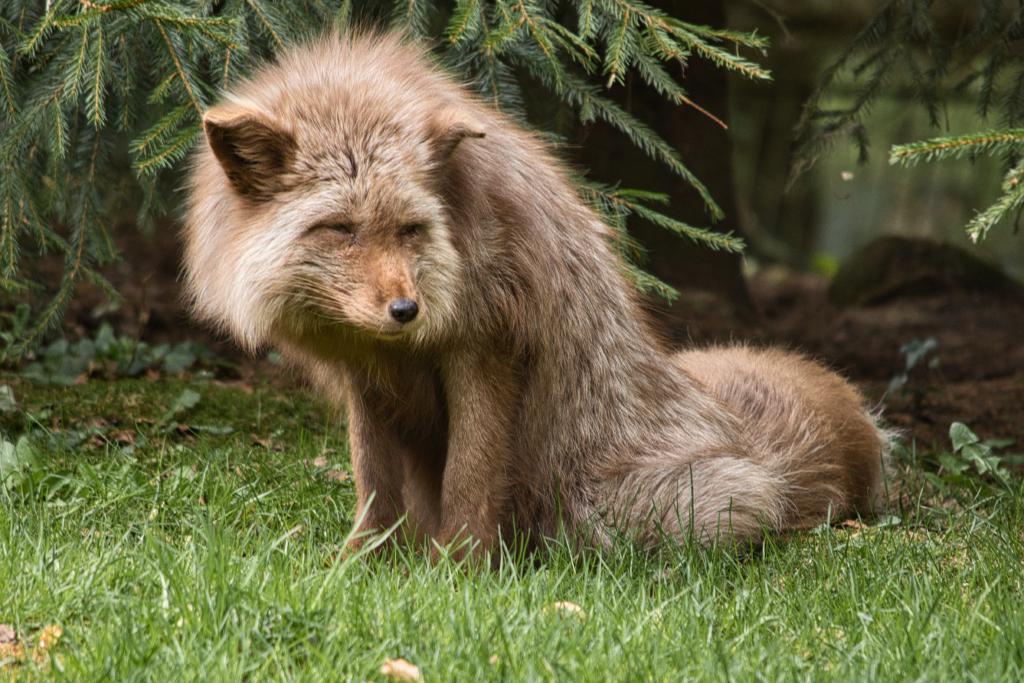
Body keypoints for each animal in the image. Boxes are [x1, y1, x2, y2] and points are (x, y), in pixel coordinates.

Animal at [182, 32, 888, 558]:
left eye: (410, 229)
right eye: (342, 230)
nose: (405, 311)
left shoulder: (487, 345)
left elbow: (469, 482)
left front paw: (458, 577)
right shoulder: (368, 375)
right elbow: (375, 494)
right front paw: (362, 571)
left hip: (680, 507)